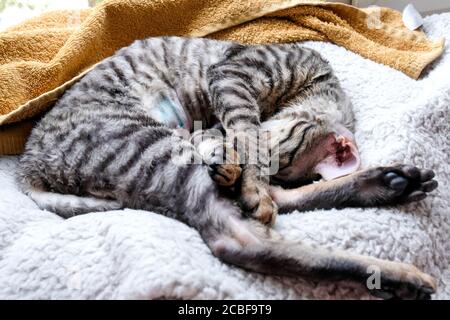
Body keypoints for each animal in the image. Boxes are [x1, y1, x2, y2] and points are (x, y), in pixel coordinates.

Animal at [19, 37, 438, 300]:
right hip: (154, 148)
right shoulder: (232, 78)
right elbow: (245, 134)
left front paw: (241, 172)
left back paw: (390, 183)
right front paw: (243, 169)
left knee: (261, 213)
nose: (254, 182)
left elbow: (245, 149)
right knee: (242, 239)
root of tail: (27, 164)